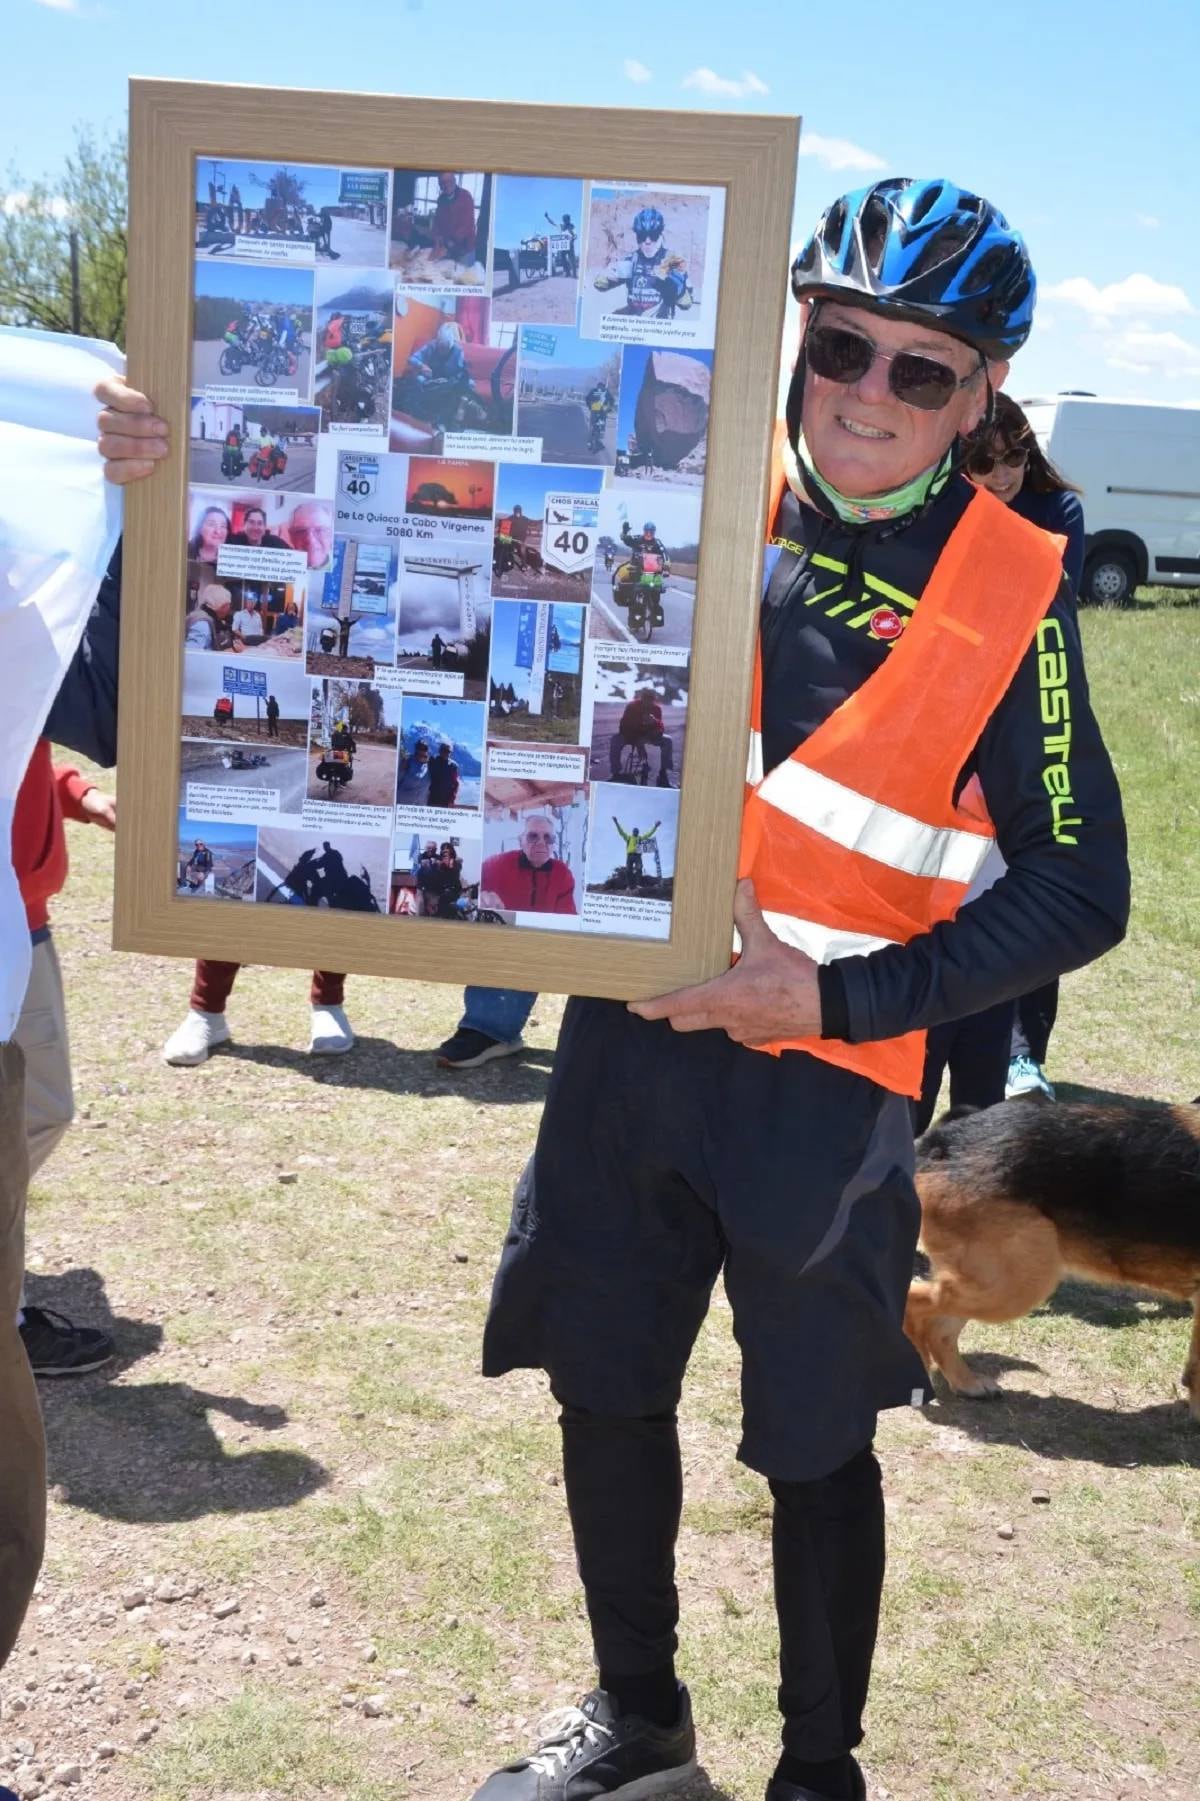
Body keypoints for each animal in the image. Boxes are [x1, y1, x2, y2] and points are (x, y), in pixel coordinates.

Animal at [900, 1095, 1189, 1419]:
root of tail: (945, 1138)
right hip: (1015, 1285)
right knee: (913, 1306)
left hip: (996, 1281)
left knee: (939, 1330)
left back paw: (967, 1383)